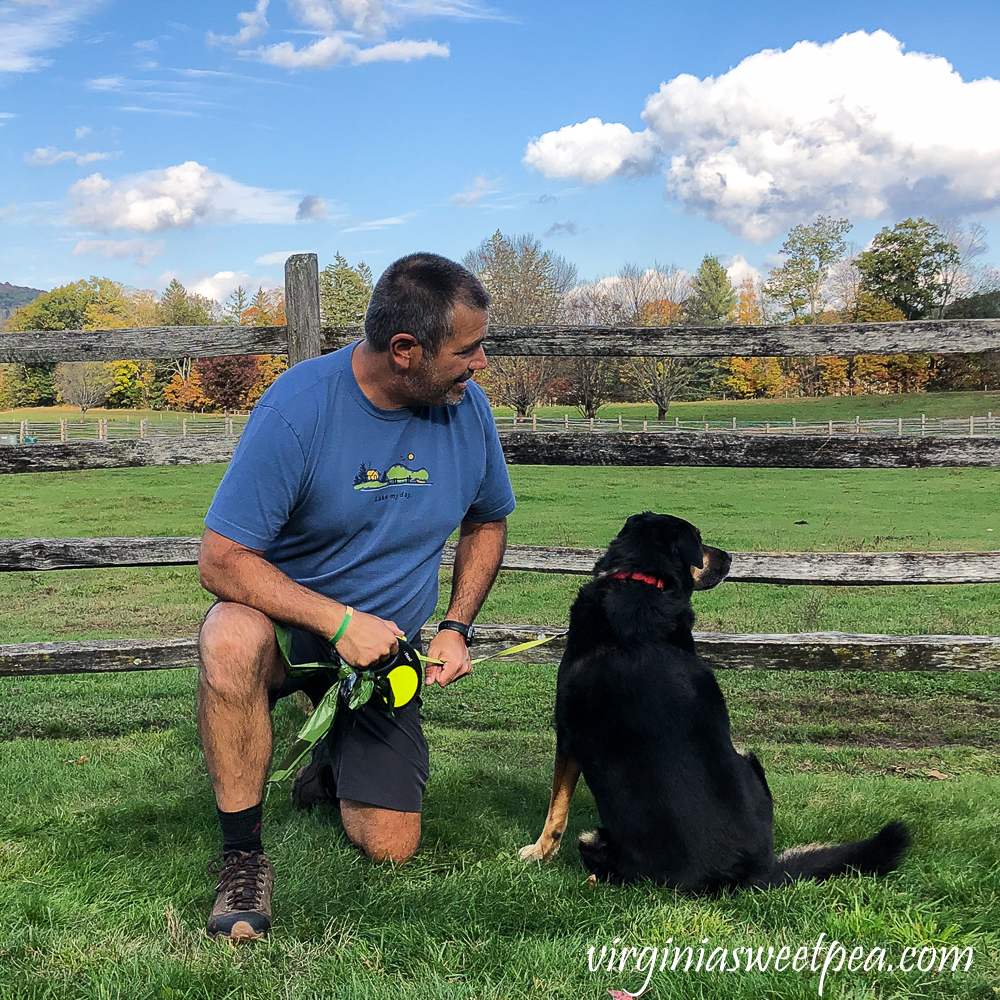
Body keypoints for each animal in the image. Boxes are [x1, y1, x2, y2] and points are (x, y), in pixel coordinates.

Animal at [520, 516, 912, 892]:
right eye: (699, 537)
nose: (731, 557)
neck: (641, 582)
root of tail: (750, 875)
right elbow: (558, 804)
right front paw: (541, 852)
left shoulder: (568, 734)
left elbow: (557, 807)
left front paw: (540, 851)